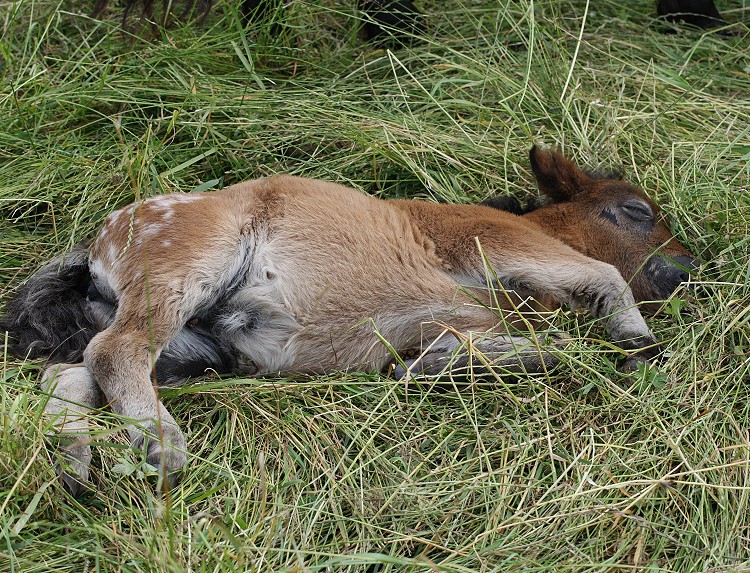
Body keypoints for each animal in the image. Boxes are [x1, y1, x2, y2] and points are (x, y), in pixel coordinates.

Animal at [1, 145, 700, 494]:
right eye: (635, 210)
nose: (688, 270)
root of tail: (97, 244)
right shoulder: (498, 242)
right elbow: (603, 275)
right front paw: (637, 342)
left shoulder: (457, 325)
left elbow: (470, 353)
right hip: (187, 269)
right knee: (114, 352)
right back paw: (161, 449)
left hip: (194, 350)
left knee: (70, 374)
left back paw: (74, 466)